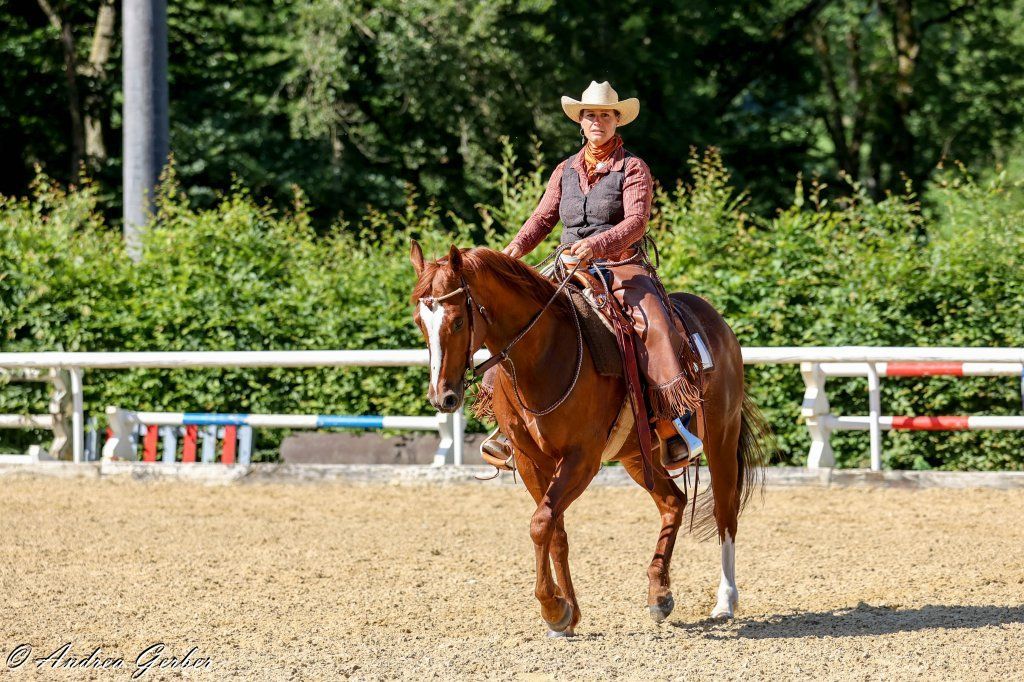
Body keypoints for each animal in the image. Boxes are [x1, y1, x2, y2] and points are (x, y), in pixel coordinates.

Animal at [409, 242, 769, 636]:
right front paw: (567, 614)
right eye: (419, 323)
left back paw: (725, 601)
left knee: (725, 514)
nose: (442, 397)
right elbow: (554, 530)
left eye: (458, 320)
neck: (544, 355)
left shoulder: (581, 460)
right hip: (637, 456)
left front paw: (553, 608)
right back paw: (659, 594)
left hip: (721, 439)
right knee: (673, 501)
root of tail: (717, 323)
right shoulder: (530, 460)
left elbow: (540, 524)